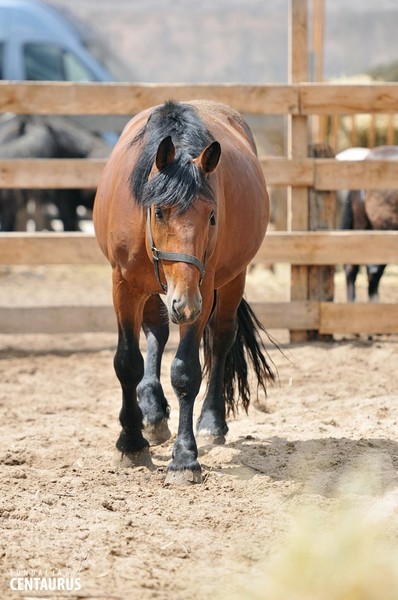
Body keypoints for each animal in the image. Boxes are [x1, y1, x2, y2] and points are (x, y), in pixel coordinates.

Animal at [93, 98, 276, 482]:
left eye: (212, 216)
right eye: (160, 212)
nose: (185, 304)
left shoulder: (200, 289)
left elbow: (186, 370)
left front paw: (185, 457)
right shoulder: (124, 285)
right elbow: (127, 362)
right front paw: (131, 442)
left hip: (232, 279)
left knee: (221, 339)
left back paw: (211, 422)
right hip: (154, 289)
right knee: (157, 332)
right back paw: (152, 413)